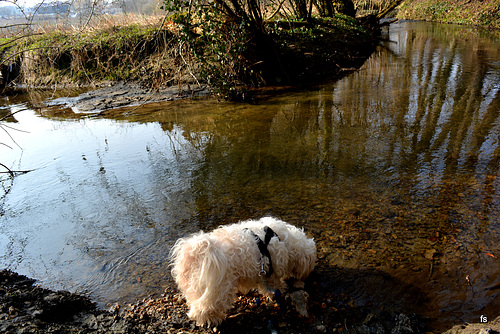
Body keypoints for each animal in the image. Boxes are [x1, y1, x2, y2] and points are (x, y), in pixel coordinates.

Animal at [170, 215, 314, 324]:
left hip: (193, 287)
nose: (309, 275)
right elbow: (273, 283)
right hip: (219, 289)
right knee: (203, 308)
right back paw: (213, 319)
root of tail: (195, 252)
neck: (283, 239)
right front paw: (280, 288)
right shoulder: (270, 269)